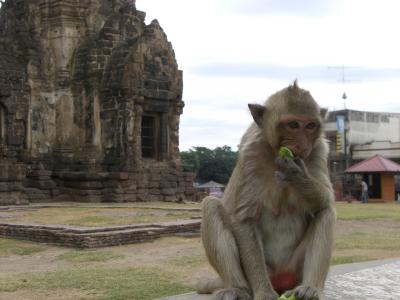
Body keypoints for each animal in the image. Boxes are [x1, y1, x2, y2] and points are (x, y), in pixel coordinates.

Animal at [198, 81, 336, 300]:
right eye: (293, 124)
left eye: (310, 125)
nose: (302, 146)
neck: (273, 153)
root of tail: (281, 278)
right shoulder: (250, 154)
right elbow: (245, 218)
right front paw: (263, 292)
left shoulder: (319, 149)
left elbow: (325, 199)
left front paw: (296, 175)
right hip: (260, 272)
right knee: (210, 205)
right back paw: (237, 288)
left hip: (294, 268)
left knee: (326, 212)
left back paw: (310, 288)